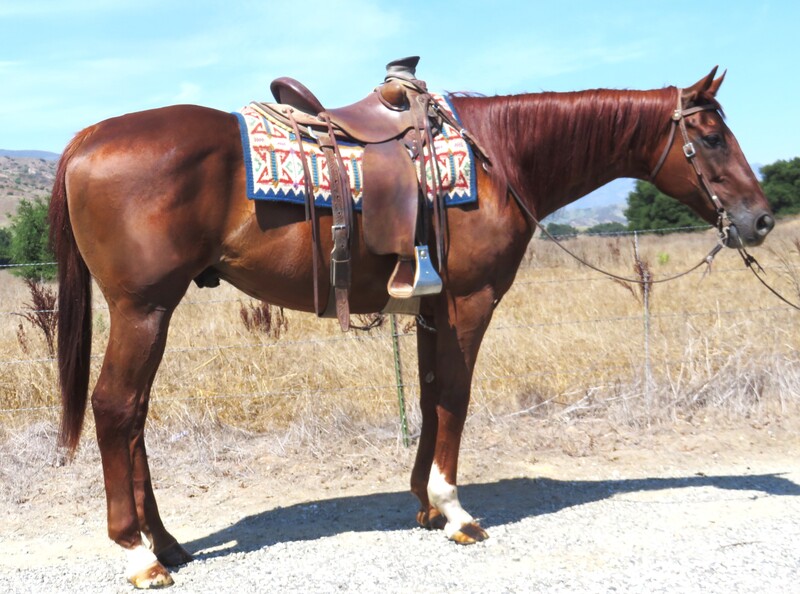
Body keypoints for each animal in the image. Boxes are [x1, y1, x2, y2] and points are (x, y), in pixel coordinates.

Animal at [50, 67, 776, 584]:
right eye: (712, 136)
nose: (761, 218)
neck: (498, 159)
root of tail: (84, 140)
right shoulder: (468, 303)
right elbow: (454, 398)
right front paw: (455, 511)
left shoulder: (431, 310)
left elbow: (429, 399)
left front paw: (424, 505)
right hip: (144, 308)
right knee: (116, 409)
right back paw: (138, 554)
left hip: (151, 311)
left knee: (135, 417)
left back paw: (167, 543)